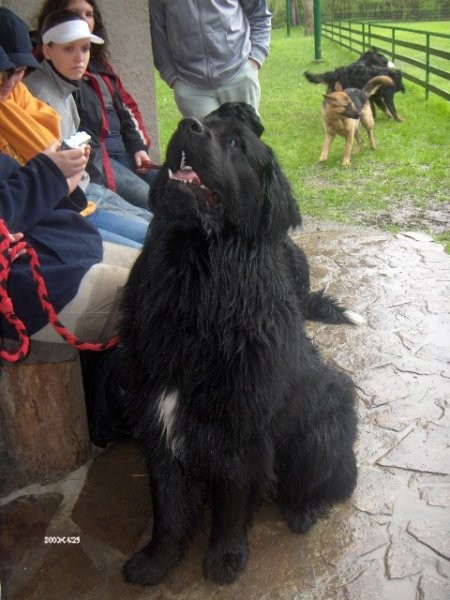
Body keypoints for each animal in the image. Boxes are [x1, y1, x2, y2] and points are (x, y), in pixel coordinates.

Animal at [119, 102, 358, 584]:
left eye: (234, 142)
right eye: (203, 122)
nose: (187, 126)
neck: (195, 278)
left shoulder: (242, 428)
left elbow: (232, 501)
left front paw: (226, 558)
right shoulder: (158, 416)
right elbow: (168, 506)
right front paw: (157, 561)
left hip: (325, 419)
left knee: (329, 482)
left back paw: (305, 510)